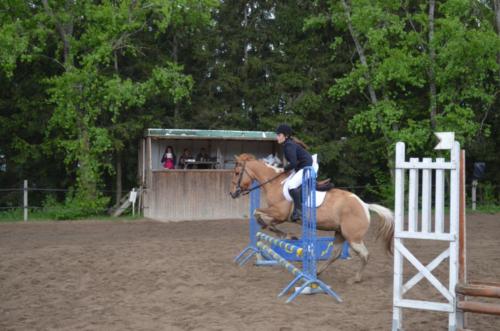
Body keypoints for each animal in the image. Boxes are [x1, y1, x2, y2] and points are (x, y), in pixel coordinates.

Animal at [228, 154, 394, 284]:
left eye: (236, 173)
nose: (232, 193)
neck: (274, 183)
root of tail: (364, 205)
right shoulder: (279, 216)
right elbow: (265, 219)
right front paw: (282, 233)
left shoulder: (280, 213)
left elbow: (257, 213)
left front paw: (285, 234)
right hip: (339, 232)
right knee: (336, 253)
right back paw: (318, 272)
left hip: (353, 237)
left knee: (365, 254)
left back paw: (355, 279)